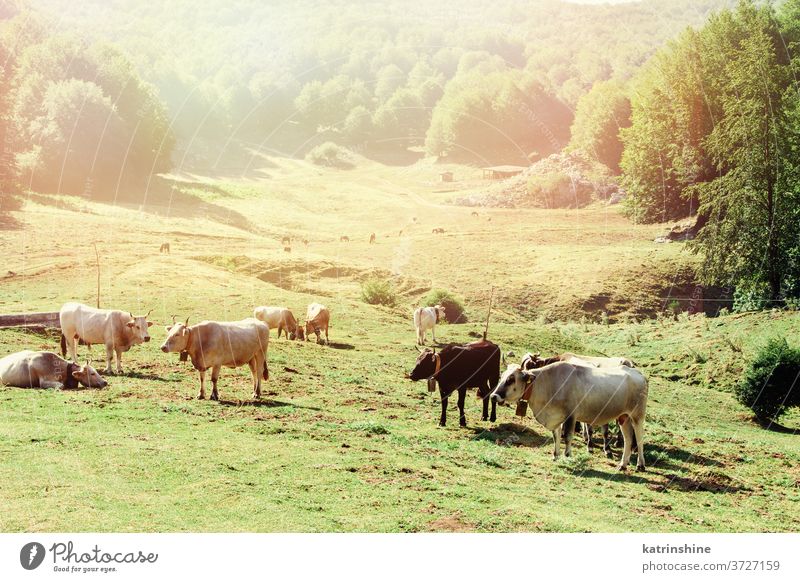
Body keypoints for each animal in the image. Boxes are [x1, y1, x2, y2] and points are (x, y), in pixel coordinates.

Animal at [488, 364, 648, 474]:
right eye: (501, 377)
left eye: (511, 379)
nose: (493, 396)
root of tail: (638, 374)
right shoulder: (556, 417)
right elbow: (556, 435)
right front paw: (555, 455)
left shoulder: (571, 415)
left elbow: (568, 436)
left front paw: (567, 455)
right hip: (623, 417)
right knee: (628, 439)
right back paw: (623, 465)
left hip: (637, 416)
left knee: (639, 438)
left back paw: (640, 465)